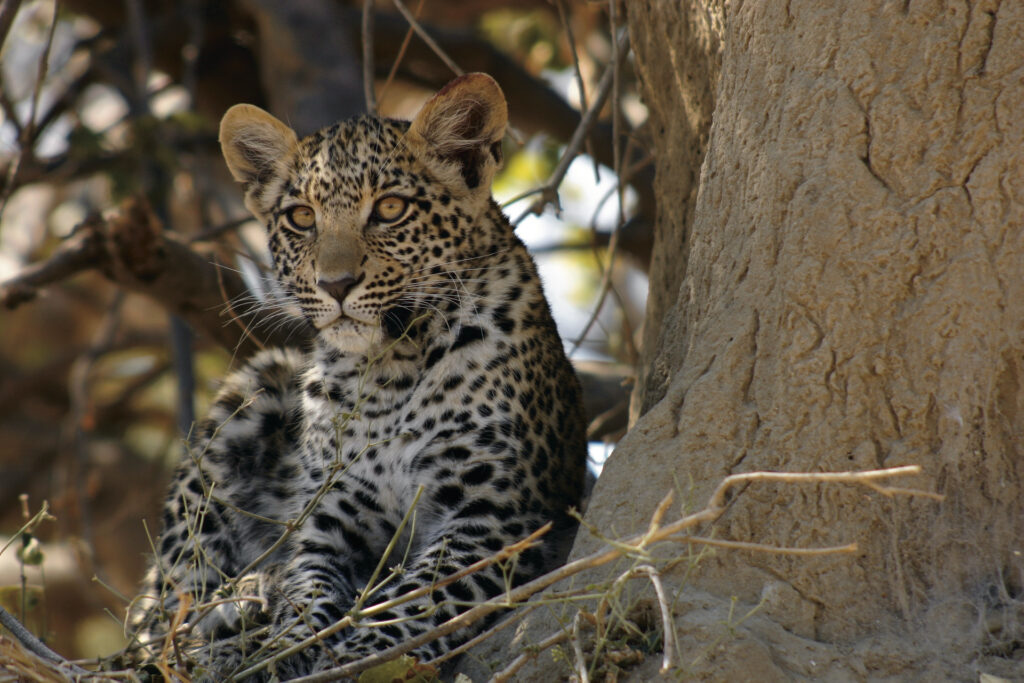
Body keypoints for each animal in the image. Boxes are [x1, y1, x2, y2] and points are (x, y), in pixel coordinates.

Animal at [132, 72, 589, 679]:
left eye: (390, 209)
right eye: (302, 217)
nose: (336, 284)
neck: (388, 368)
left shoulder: (497, 514)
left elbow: (417, 598)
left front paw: (359, 657)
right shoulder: (329, 521)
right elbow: (306, 599)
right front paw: (282, 652)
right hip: (256, 387)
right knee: (163, 608)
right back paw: (237, 611)